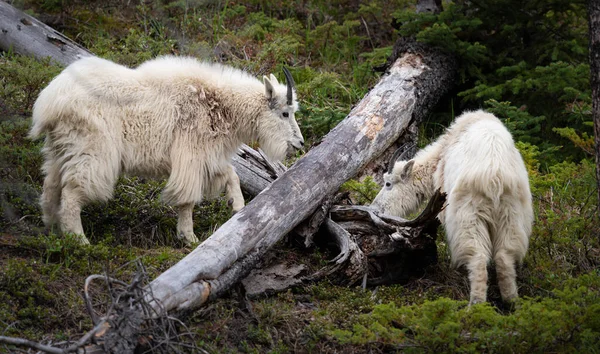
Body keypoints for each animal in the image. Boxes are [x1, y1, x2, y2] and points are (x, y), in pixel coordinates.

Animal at [29, 56, 304, 246]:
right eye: (285, 113)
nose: (300, 143)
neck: (220, 105)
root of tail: (50, 102)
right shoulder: (191, 155)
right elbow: (188, 198)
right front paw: (188, 236)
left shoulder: (206, 157)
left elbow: (230, 174)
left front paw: (236, 205)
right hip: (92, 150)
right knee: (73, 190)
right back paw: (80, 240)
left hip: (60, 148)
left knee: (51, 185)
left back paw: (51, 228)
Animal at [370, 110, 536, 304]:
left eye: (388, 183)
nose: (374, 208)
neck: (440, 155)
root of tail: (495, 178)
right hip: (512, 215)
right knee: (505, 256)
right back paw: (511, 302)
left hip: (469, 215)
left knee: (478, 257)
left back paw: (476, 304)